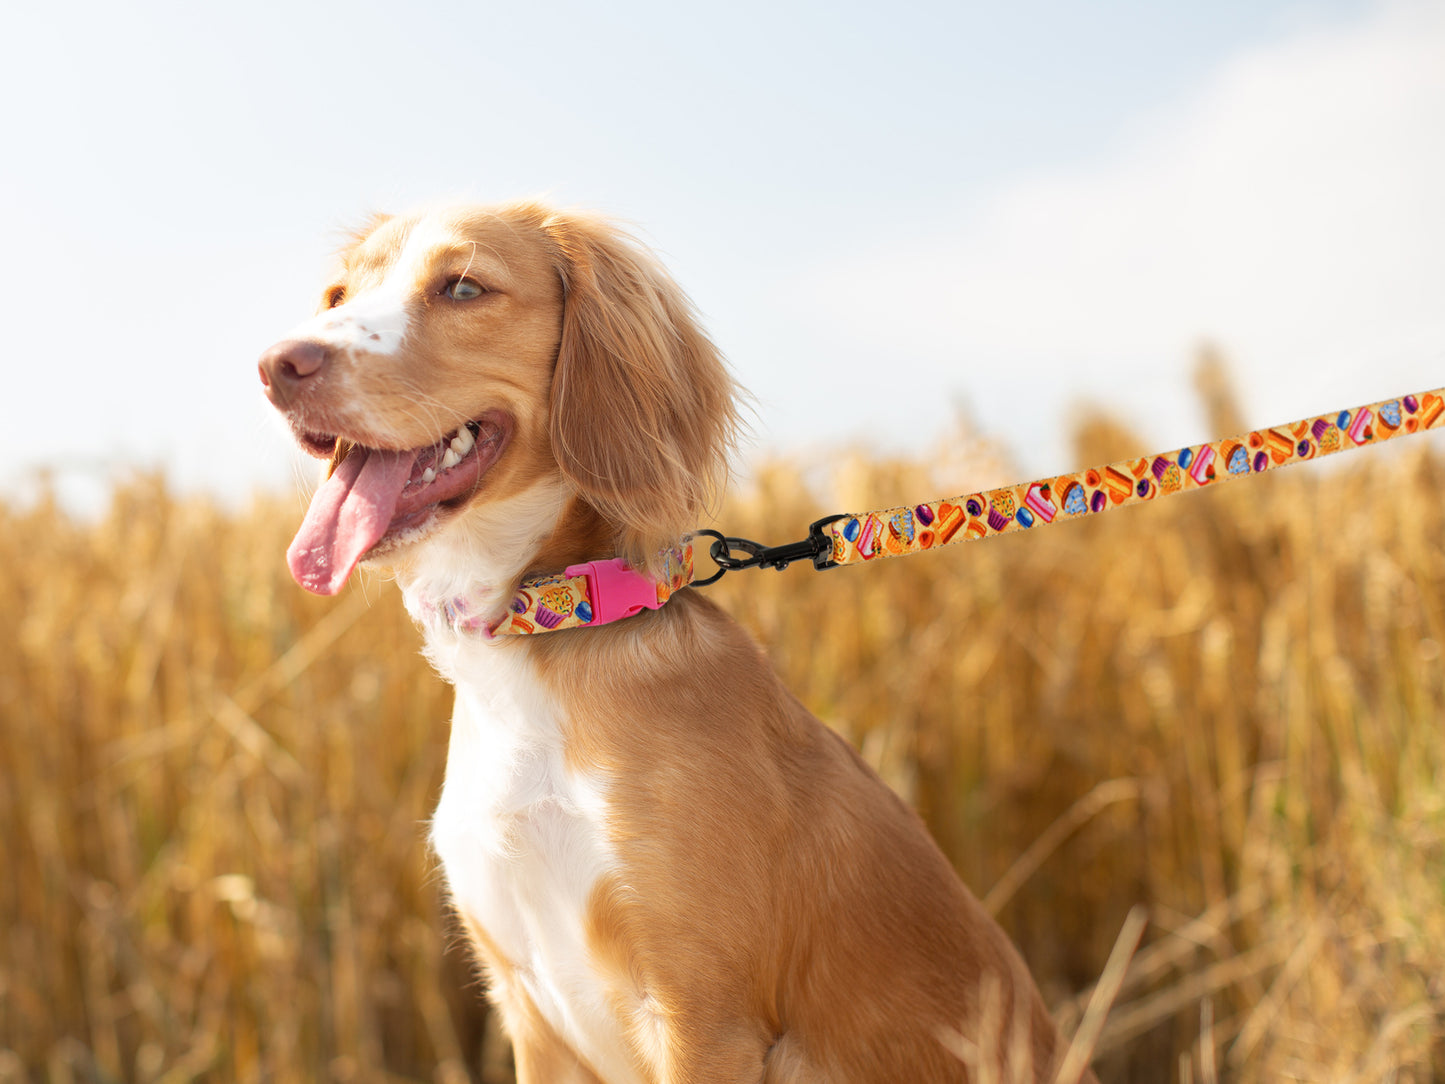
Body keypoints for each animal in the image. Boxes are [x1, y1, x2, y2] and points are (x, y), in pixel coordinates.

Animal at [262, 203, 1092, 1084]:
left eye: (462, 287)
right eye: (337, 295)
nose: (277, 365)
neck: (551, 630)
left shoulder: (702, 1017)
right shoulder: (529, 1011)